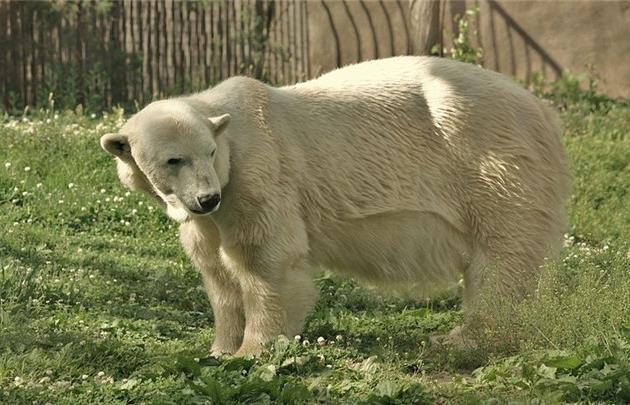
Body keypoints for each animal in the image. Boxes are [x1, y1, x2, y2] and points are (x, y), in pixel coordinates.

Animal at [100, 55, 572, 356]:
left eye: (209, 153)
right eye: (173, 160)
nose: (206, 197)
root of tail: (545, 111)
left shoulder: (259, 176)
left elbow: (265, 262)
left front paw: (251, 351)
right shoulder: (209, 216)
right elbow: (217, 273)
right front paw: (218, 349)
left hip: (490, 161)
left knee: (502, 256)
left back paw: (465, 338)